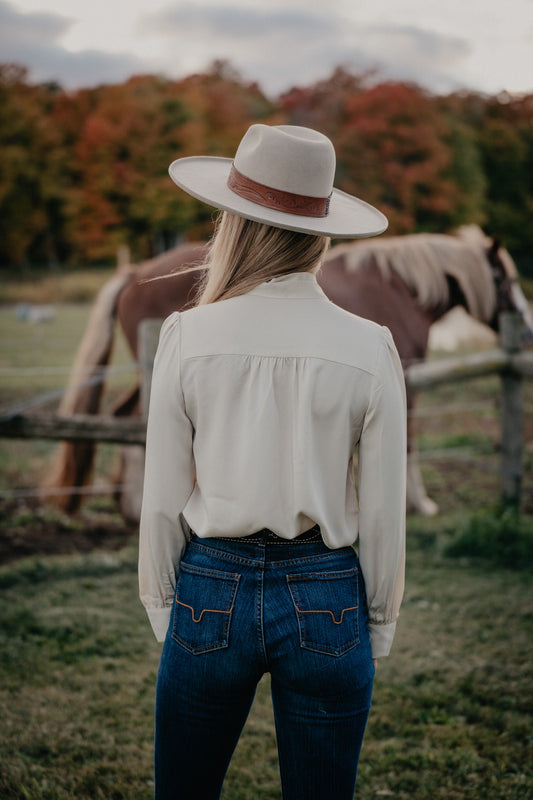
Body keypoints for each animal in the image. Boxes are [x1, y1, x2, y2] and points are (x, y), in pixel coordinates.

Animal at [45, 225, 532, 520]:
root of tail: (135, 273)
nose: (527, 330)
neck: (398, 287)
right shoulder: (405, 382)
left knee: (125, 418)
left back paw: (129, 504)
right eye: (507, 281)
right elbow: (407, 442)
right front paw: (419, 503)